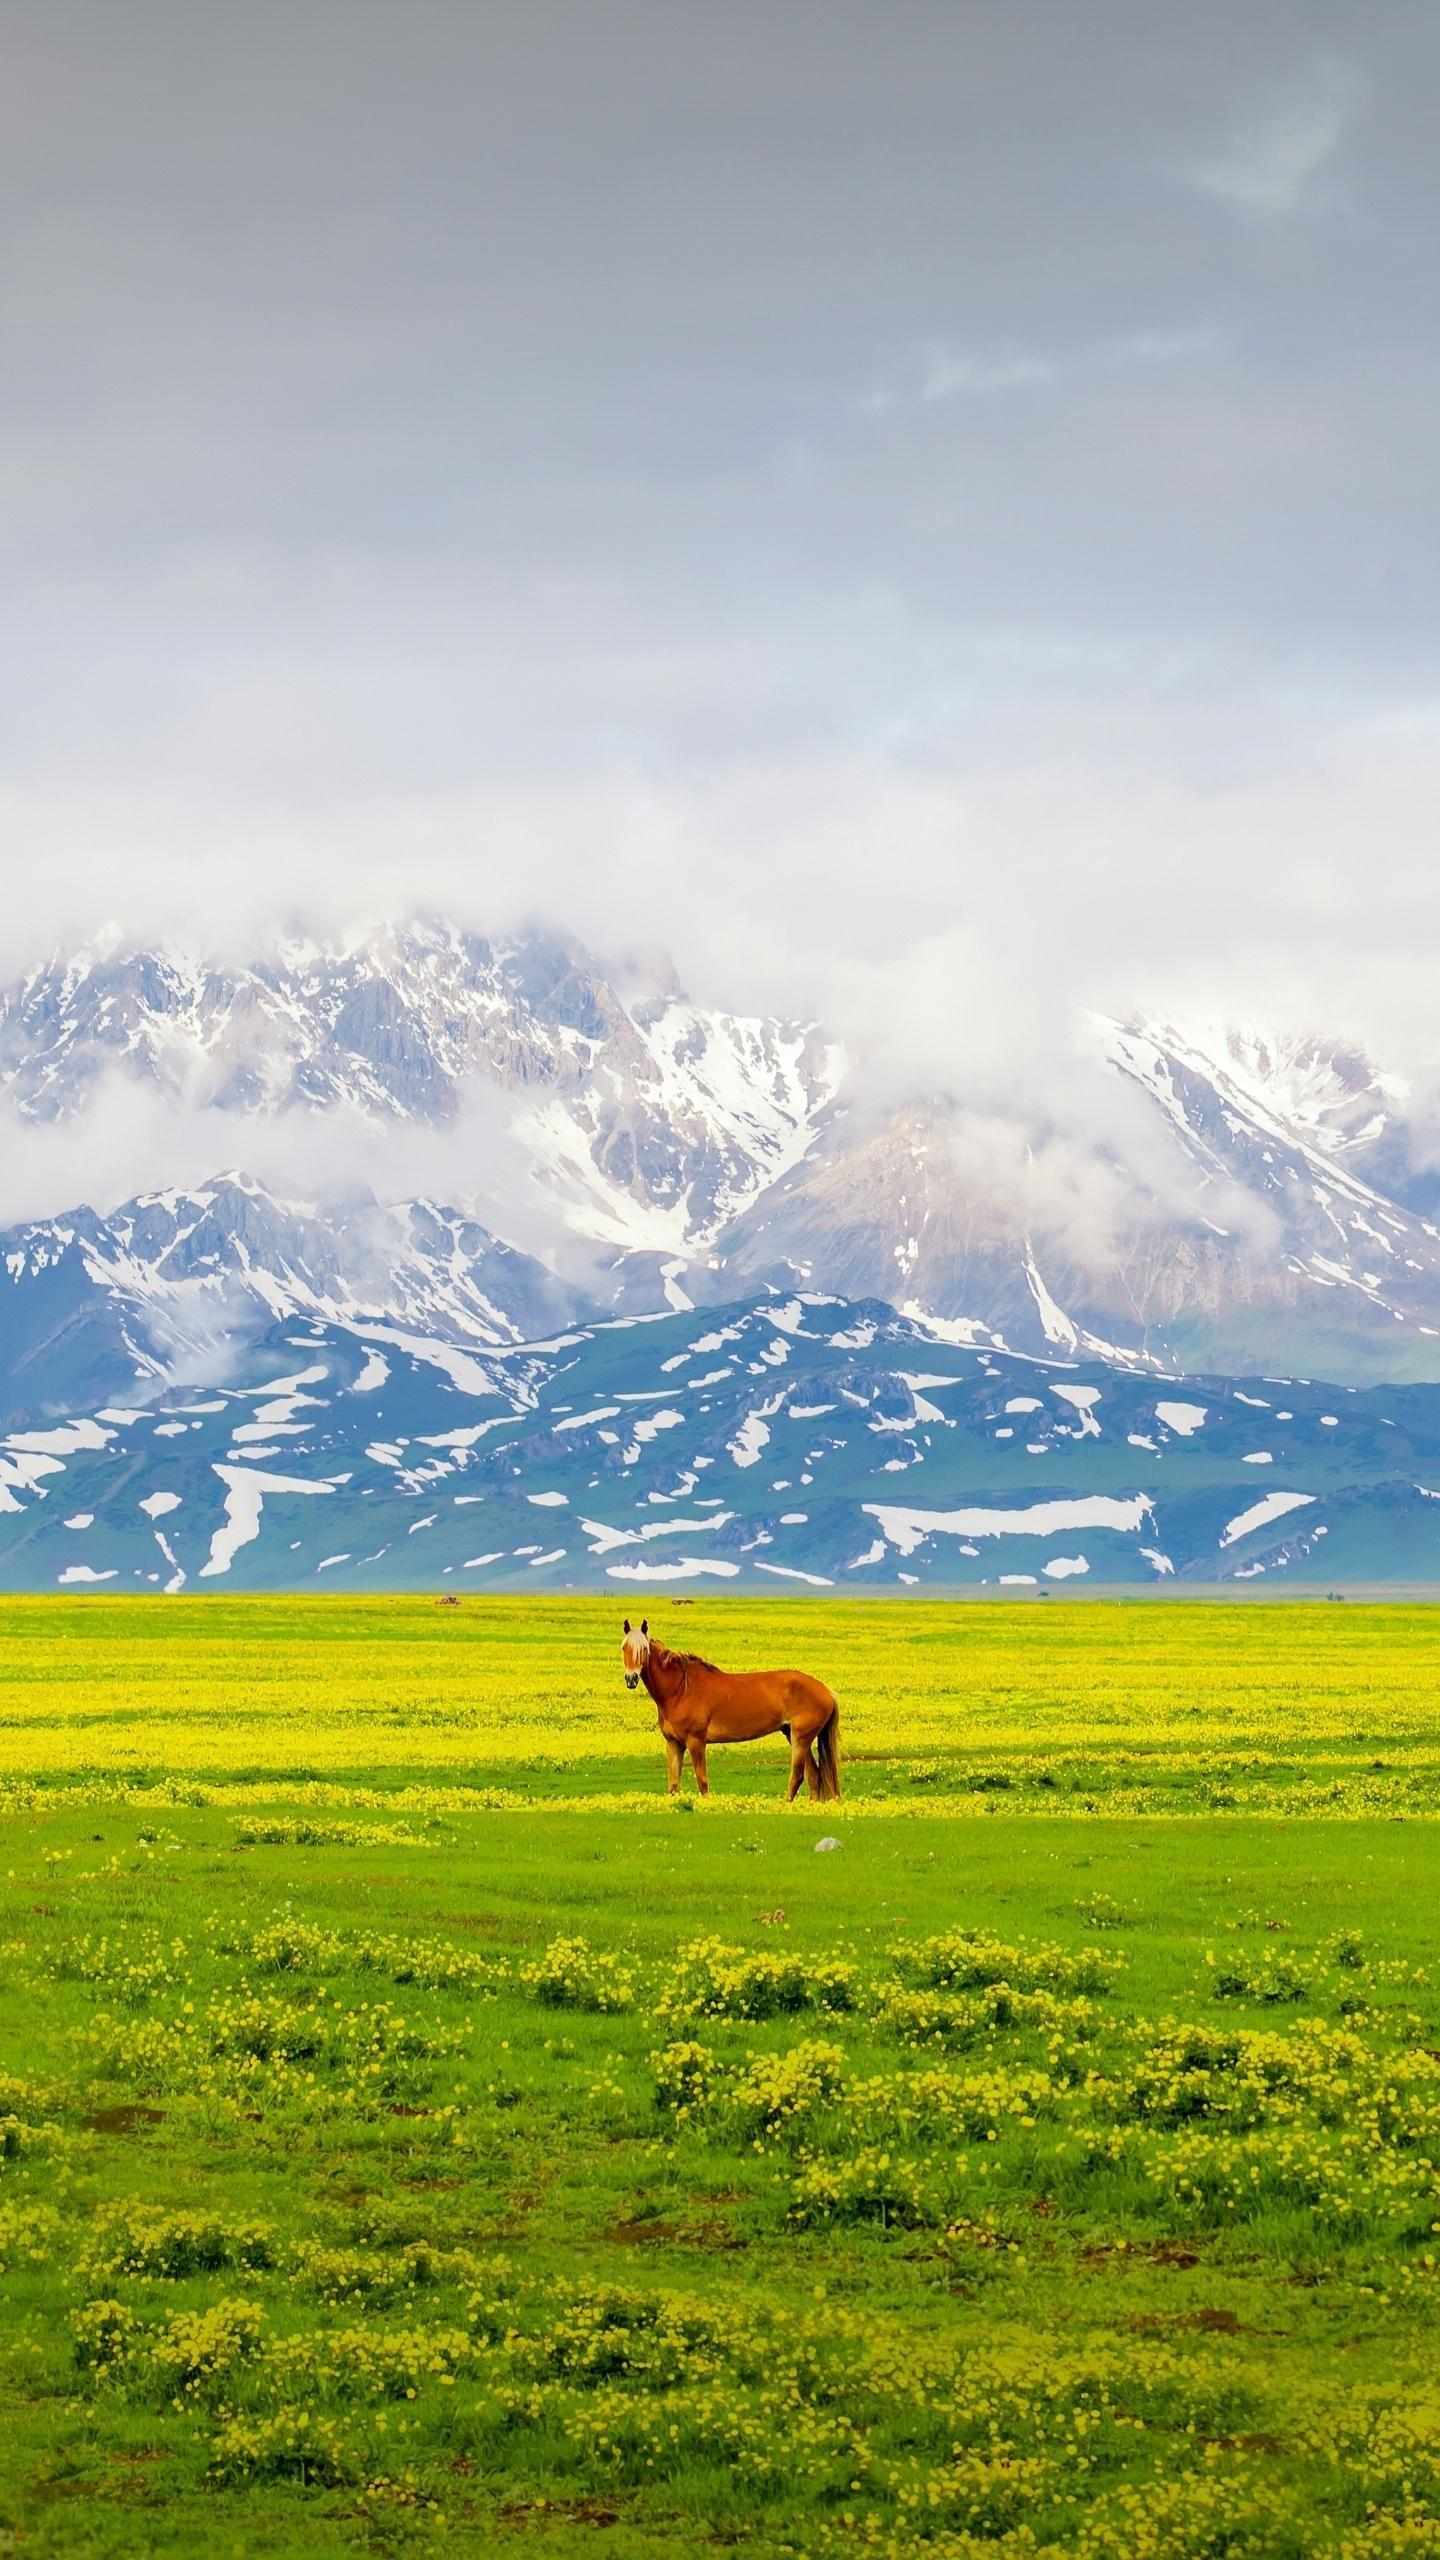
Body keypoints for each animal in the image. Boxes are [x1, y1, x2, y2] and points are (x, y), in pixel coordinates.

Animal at [620, 1617, 840, 1802]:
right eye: (624, 1648)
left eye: (643, 1649)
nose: (631, 1679)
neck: (681, 1689)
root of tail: (826, 1691)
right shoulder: (674, 1743)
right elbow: (673, 1785)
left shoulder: (696, 1742)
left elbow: (702, 1781)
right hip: (794, 1736)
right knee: (813, 1776)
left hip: (800, 1739)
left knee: (798, 1776)